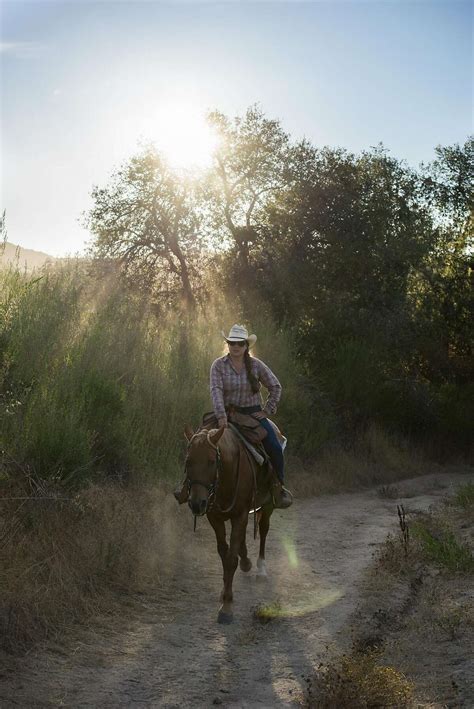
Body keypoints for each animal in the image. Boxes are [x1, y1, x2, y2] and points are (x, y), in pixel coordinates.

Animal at [183, 424, 276, 624]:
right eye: (188, 461)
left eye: (211, 461)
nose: (196, 503)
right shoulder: (215, 517)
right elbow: (224, 554)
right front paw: (224, 592)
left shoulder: (240, 515)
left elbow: (231, 559)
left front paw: (226, 607)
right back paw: (247, 562)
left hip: (268, 505)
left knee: (263, 530)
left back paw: (261, 569)